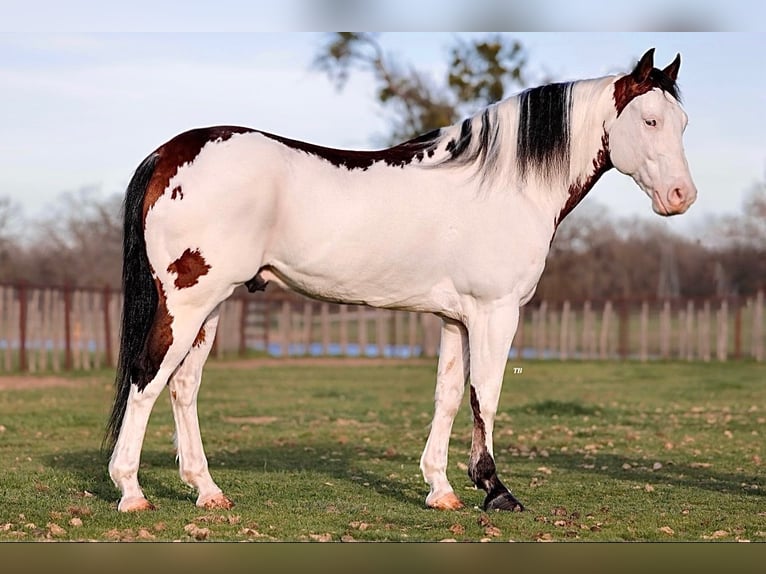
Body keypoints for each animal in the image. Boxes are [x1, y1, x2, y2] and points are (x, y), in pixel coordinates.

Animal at [105, 49, 700, 516]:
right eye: (649, 121)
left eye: (683, 123)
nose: (681, 197)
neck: (503, 185)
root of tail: (169, 153)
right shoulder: (496, 311)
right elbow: (487, 394)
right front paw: (495, 489)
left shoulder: (457, 317)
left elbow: (449, 395)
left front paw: (443, 489)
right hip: (187, 302)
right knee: (147, 377)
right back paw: (131, 492)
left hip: (210, 307)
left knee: (182, 386)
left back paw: (207, 491)